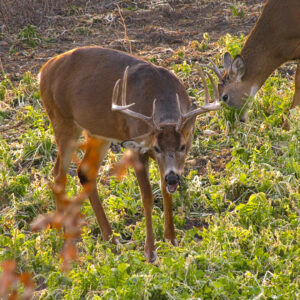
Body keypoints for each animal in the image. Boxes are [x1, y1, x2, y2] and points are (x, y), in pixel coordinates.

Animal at [38, 45, 220, 262]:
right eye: (156, 148)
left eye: (183, 146)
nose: (173, 177)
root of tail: (44, 70)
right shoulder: (137, 149)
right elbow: (147, 196)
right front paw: (150, 251)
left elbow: (164, 191)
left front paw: (171, 239)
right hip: (62, 120)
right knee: (59, 172)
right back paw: (62, 231)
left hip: (98, 132)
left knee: (84, 171)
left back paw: (111, 239)